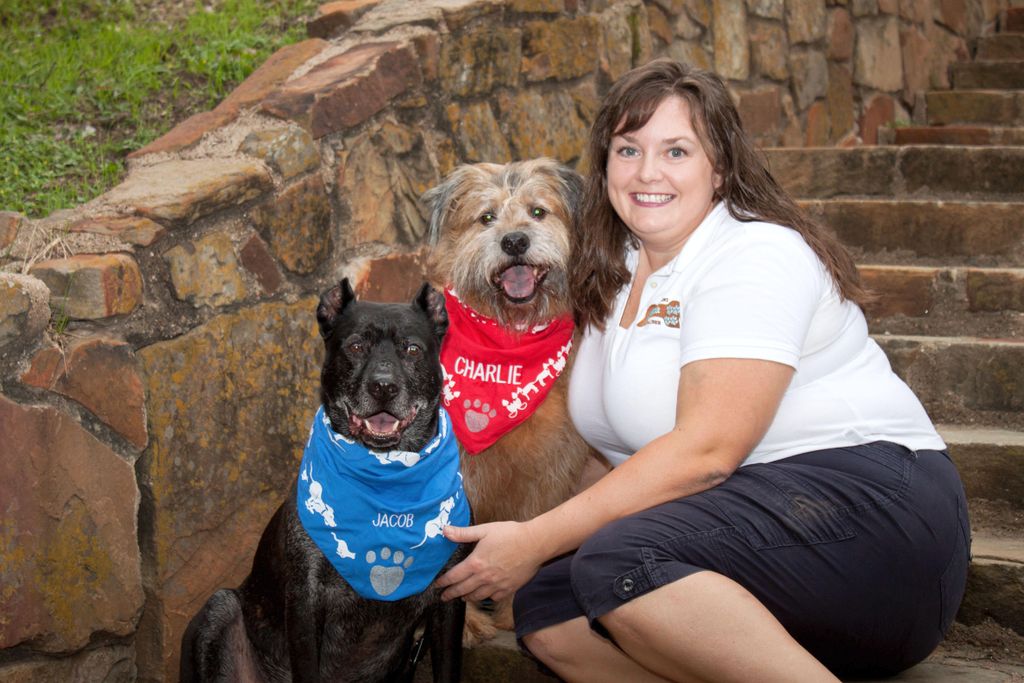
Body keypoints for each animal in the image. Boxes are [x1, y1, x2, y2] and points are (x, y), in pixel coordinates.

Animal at [180, 280, 468, 679]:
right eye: (356, 346)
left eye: (411, 349)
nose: (383, 387)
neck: (386, 477)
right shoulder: (305, 603)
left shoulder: (450, 600)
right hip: (219, 609)